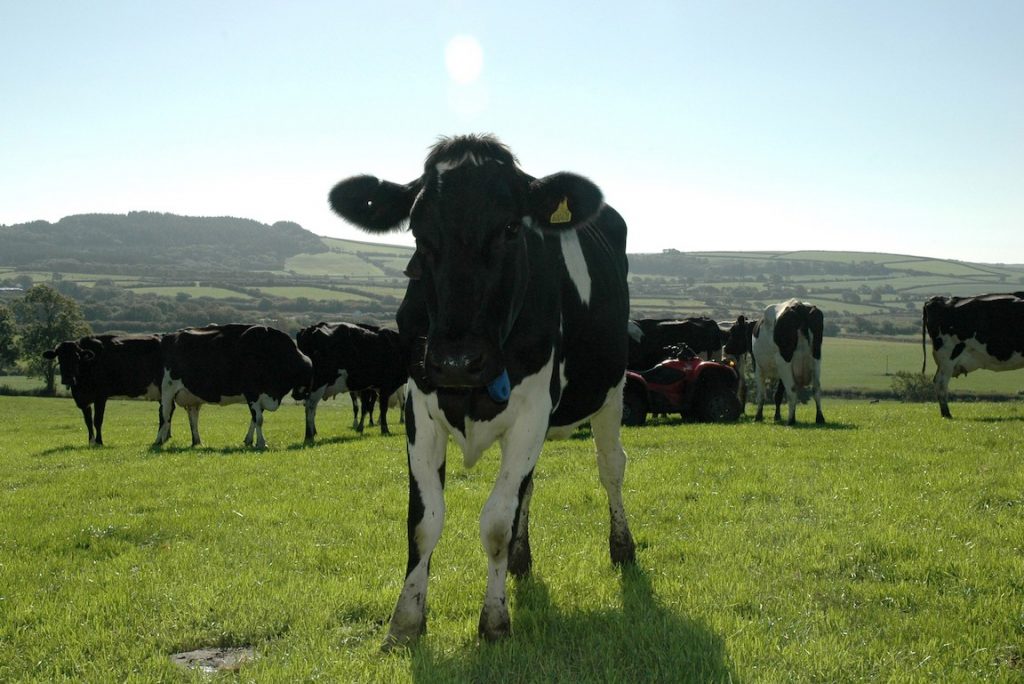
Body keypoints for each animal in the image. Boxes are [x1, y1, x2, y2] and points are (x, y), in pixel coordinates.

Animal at [152, 325, 311, 448]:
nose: (298, 396)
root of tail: (169, 336)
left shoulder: (262, 396)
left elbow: (255, 419)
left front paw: (249, 441)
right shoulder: (252, 392)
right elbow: (259, 419)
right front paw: (261, 443)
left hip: (192, 397)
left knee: (193, 418)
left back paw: (197, 442)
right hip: (168, 390)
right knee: (165, 414)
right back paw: (159, 440)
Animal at [327, 136, 634, 651]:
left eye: (511, 227)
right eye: (417, 230)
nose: (457, 359)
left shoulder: (533, 410)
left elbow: (494, 523)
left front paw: (494, 621)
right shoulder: (419, 405)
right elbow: (424, 521)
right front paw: (405, 623)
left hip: (611, 390)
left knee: (610, 467)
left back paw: (622, 546)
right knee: (529, 488)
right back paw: (521, 561)